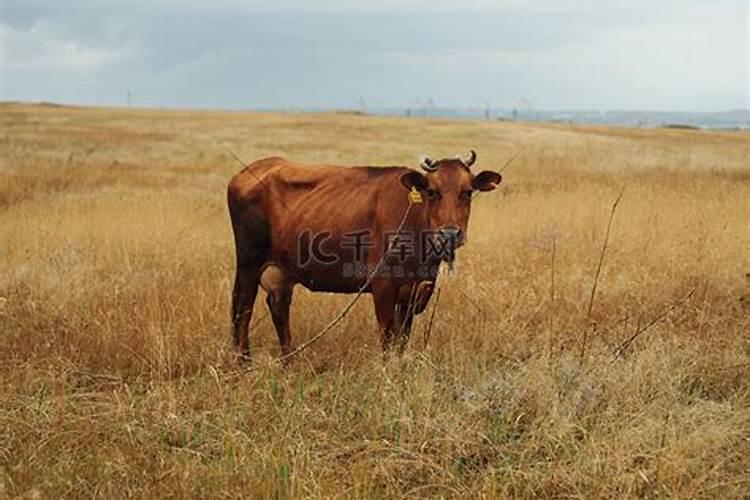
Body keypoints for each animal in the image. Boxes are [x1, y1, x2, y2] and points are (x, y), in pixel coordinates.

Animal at [226, 149, 502, 360]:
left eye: (467, 192)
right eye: (432, 192)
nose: (450, 233)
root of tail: (253, 169)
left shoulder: (413, 292)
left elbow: (402, 339)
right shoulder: (383, 286)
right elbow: (388, 338)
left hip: (281, 271)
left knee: (279, 308)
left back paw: (290, 361)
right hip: (248, 263)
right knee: (242, 309)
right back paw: (243, 364)